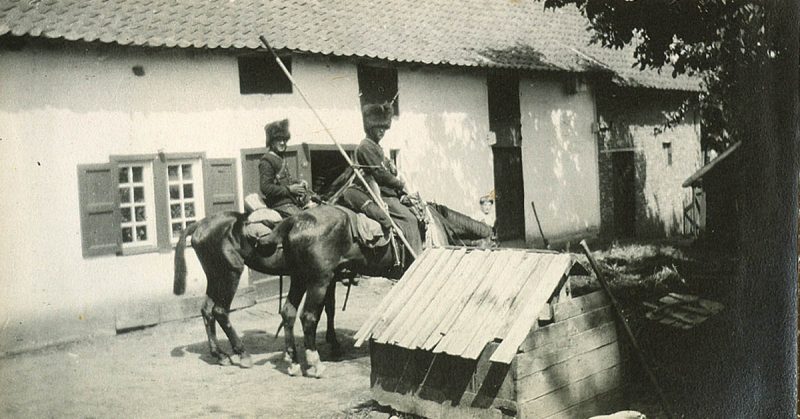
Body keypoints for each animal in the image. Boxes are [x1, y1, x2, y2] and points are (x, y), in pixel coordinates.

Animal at [172, 203, 490, 378]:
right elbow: (328, 310)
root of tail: (200, 225)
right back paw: (254, 355)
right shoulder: (329, 277)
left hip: (224, 276)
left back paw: (226, 355)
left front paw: (333, 344)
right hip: (233, 275)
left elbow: (331, 309)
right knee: (226, 311)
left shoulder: (330, 277)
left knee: (212, 311)